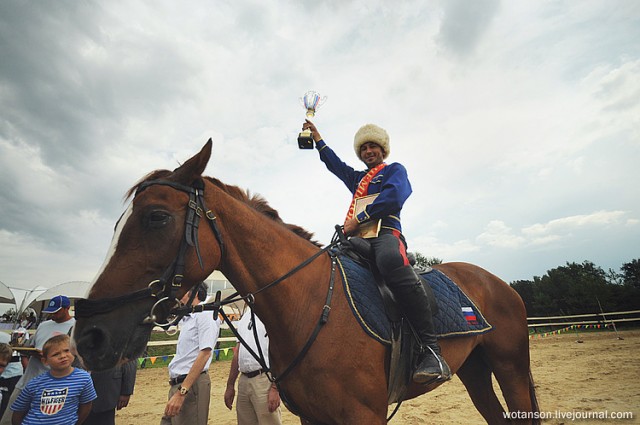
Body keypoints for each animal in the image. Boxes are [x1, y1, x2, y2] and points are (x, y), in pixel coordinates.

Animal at [74, 141, 540, 422]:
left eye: (157, 217)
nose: (89, 335)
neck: (311, 302)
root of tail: (500, 283)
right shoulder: (314, 416)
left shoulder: (364, 416)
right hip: (476, 371)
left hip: (511, 366)